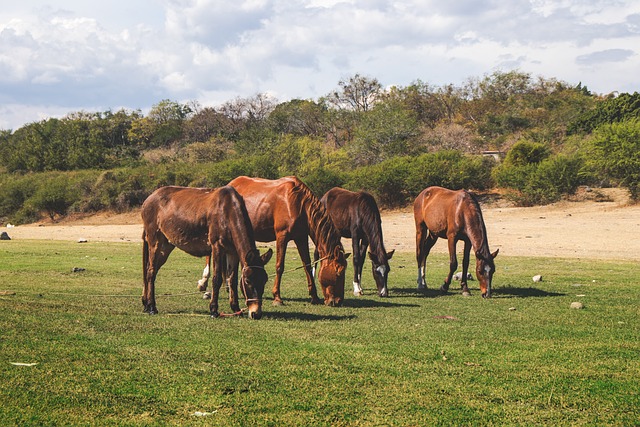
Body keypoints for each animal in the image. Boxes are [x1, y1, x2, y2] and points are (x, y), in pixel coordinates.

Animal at [142, 186, 272, 320]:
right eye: (247, 281)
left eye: (264, 280)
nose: (256, 314)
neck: (228, 211)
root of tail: (150, 197)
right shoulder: (217, 247)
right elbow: (217, 279)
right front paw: (213, 310)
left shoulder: (233, 252)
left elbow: (232, 280)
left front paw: (236, 309)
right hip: (155, 241)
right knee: (151, 271)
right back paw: (152, 307)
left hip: (166, 245)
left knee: (150, 270)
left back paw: (146, 304)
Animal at [202, 177, 348, 308]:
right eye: (339, 272)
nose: (337, 301)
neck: (298, 203)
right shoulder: (282, 236)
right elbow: (279, 266)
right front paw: (277, 297)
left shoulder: (301, 237)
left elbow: (307, 265)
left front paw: (314, 297)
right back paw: (204, 284)